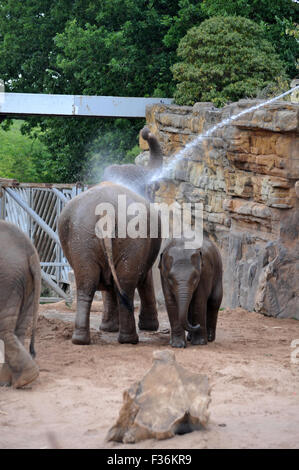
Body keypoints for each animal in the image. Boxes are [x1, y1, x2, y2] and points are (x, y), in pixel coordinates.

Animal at [58, 182, 162, 344]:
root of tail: (106, 213)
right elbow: (145, 279)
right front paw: (148, 327)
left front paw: (108, 329)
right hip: (130, 237)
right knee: (125, 284)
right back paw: (129, 340)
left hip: (83, 239)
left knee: (87, 283)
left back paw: (80, 340)